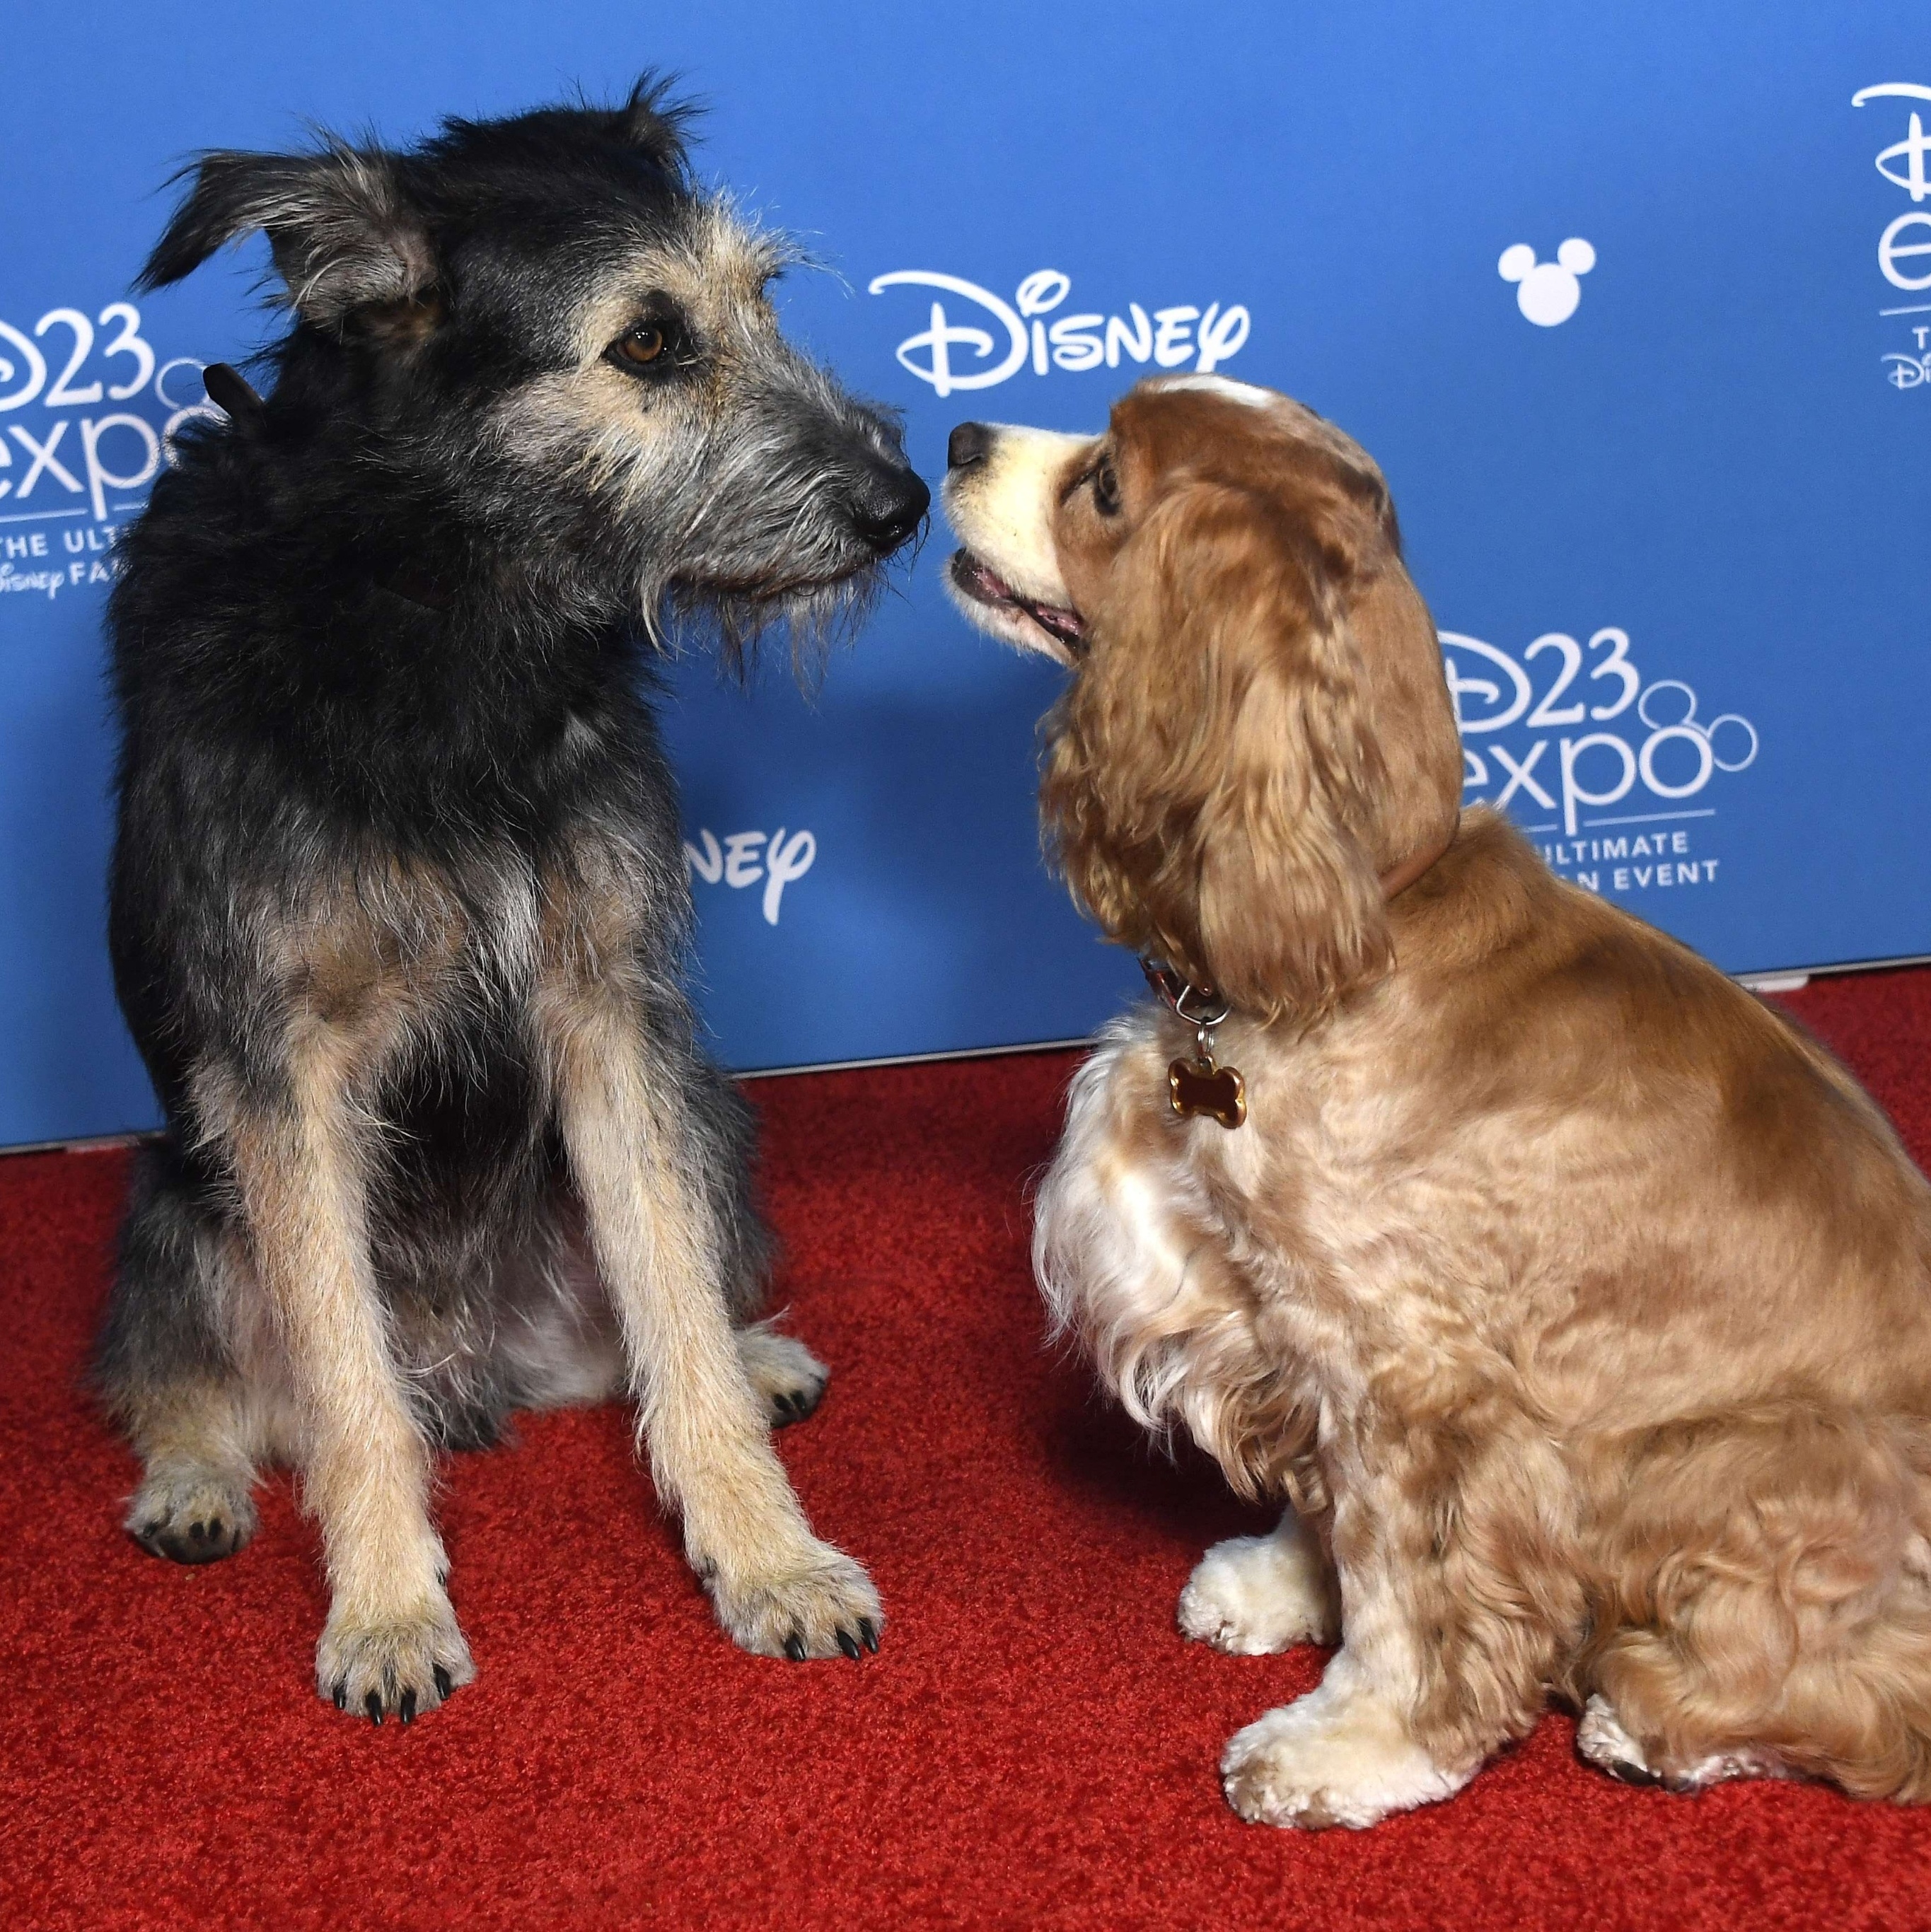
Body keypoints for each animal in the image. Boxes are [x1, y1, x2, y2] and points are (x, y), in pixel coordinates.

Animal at [98, 83, 927, 1730]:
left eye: (762, 297)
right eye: (648, 343)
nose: (904, 501)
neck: (458, 612)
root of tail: (476, 1368)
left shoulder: (609, 1005)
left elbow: (672, 1302)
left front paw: (767, 1551)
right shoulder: (282, 1072)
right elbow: (343, 1378)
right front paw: (384, 1607)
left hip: (715, 1114)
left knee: (658, 1323)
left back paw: (759, 1357)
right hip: (173, 1204)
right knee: (203, 1378)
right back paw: (197, 1480)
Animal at [943, 373, 1931, 1824]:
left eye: (1108, 484)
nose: (956, 437)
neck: (1364, 917)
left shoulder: (1422, 1381)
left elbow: (1408, 1590)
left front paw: (1346, 1744)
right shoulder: (1284, 1313)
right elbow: (1324, 1505)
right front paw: (1276, 1584)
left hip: (1737, 1459)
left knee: (1863, 1697)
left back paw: (1652, 1721)